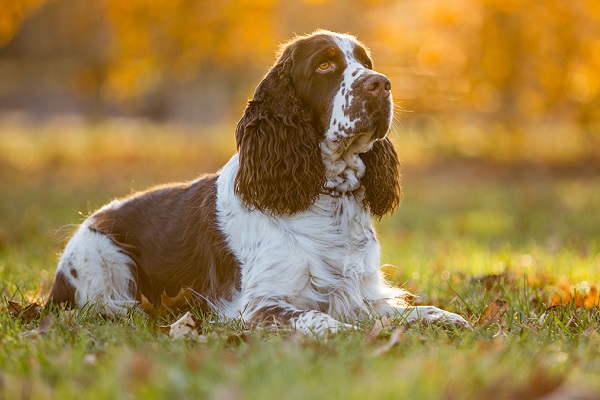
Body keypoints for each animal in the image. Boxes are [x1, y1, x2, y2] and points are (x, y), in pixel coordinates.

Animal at [47, 30, 468, 334]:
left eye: (366, 63)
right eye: (324, 65)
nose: (381, 84)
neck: (325, 193)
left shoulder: (361, 291)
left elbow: (406, 308)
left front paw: (446, 318)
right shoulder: (259, 305)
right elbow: (323, 319)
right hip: (103, 260)